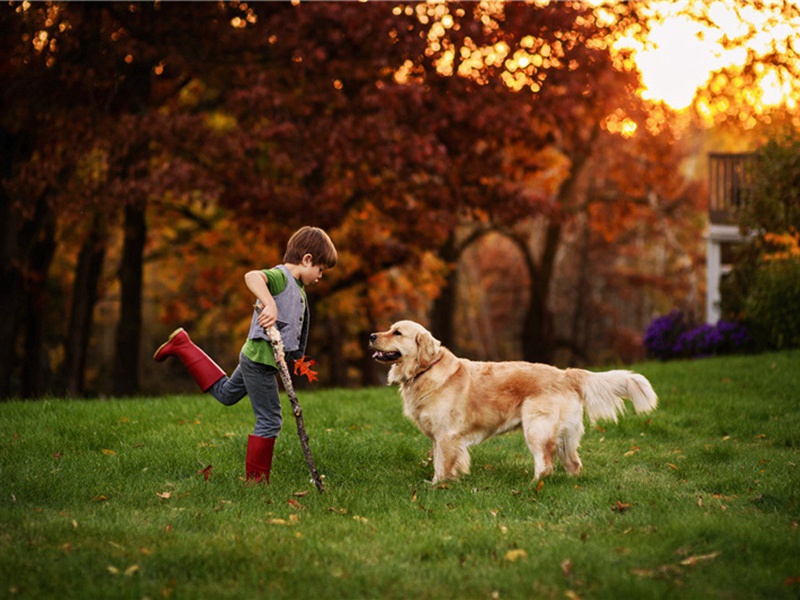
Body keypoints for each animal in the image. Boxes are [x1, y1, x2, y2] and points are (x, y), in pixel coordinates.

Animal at [368, 318, 656, 482]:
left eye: (397, 333)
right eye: (389, 329)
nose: (371, 336)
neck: (425, 370)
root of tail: (566, 373)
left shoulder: (447, 435)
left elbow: (445, 466)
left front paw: (440, 487)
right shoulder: (439, 438)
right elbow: (439, 464)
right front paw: (435, 483)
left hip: (536, 428)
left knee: (545, 465)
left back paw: (532, 487)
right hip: (565, 435)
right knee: (573, 463)